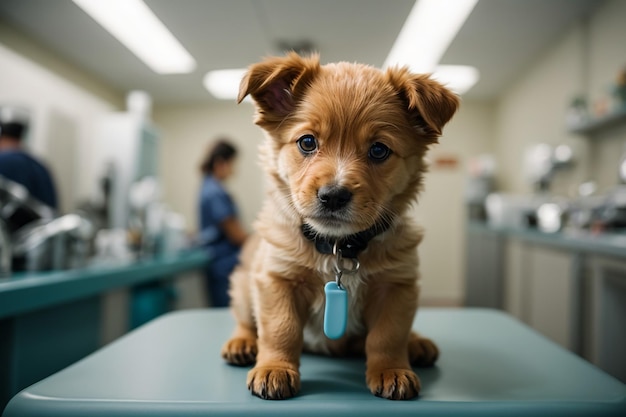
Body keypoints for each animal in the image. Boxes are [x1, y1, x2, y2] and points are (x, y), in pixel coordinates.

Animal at [221, 52, 458, 400]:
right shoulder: (276, 279)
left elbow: (388, 335)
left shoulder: (397, 286)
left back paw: (416, 343)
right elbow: (280, 329)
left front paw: (391, 370)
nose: (333, 195)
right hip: (241, 287)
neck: (337, 245)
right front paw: (275, 367)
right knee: (245, 321)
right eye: (307, 142)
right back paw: (242, 342)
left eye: (379, 150)